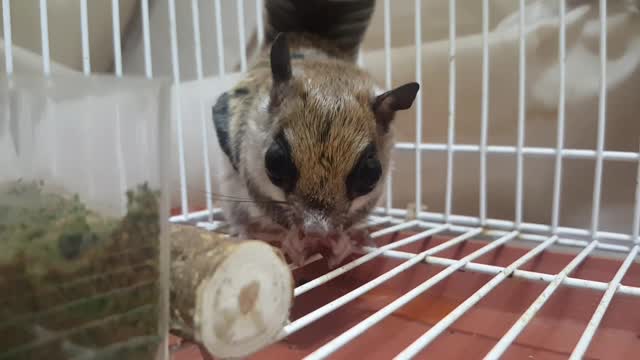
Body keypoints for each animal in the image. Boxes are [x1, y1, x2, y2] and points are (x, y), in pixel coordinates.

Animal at [211, 0, 420, 268]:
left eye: (371, 173)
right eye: (275, 161)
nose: (316, 230)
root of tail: (306, 36)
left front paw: (341, 244)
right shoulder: (248, 169)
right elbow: (271, 210)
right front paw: (294, 243)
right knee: (239, 216)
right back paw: (246, 231)